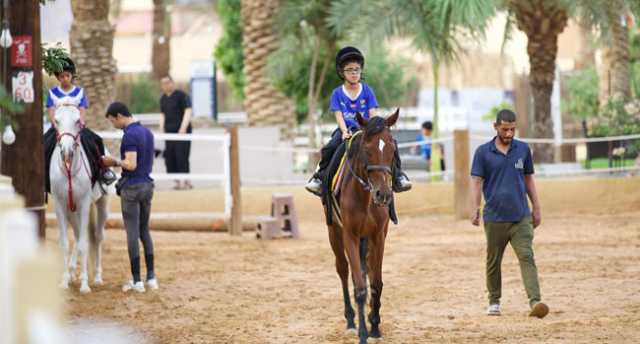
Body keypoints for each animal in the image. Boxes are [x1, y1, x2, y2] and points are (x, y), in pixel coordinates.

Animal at [49, 105, 111, 292]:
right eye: (56, 121)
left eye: (78, 121)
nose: (67, 150)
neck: (69, 170)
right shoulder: (60, 206)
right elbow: (65, 243)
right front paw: (64, 281)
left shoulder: (84, 204)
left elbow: (84, 244)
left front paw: (84, 285)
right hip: (71, 211)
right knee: (77, 235)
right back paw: (71, 273)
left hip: (101, 204)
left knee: (97, 237)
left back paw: (97, 277)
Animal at [328, 109, 398, 342]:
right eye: (367, 150)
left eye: (392, 148)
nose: (383, 194)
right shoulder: (349, 235)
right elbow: (359, 287)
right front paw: (363, 333)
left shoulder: (378, 236)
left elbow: (376, 283)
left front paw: (374, 326)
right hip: (335, 233)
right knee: (343, 270)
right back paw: (351, 320)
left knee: (365, 268)